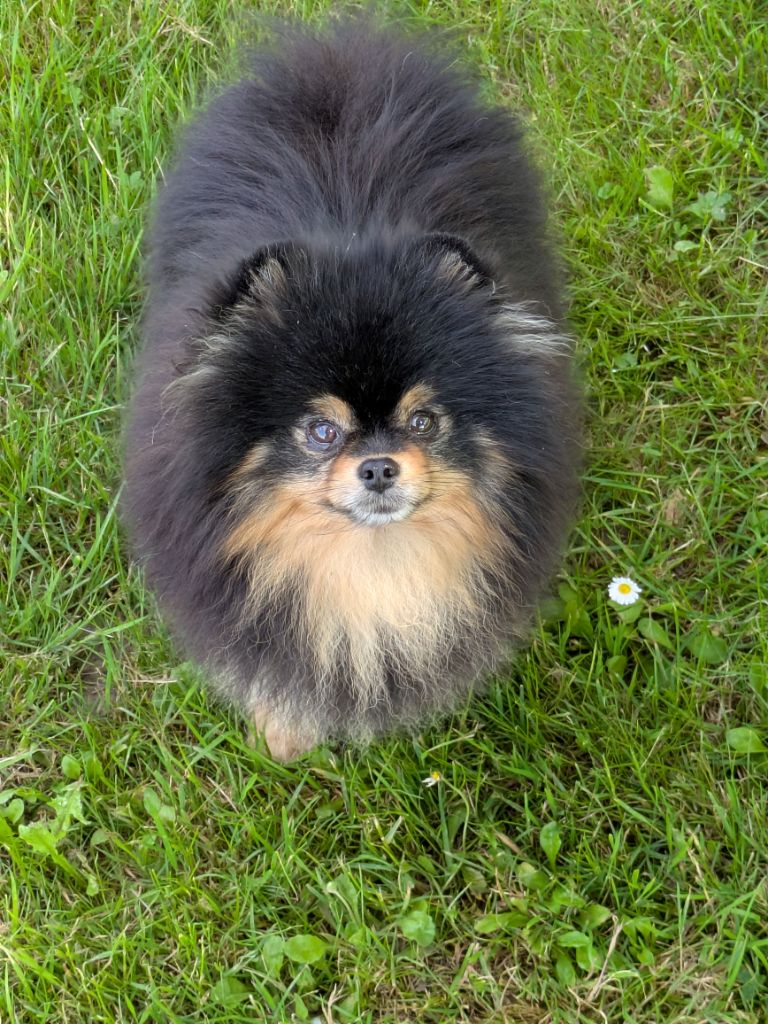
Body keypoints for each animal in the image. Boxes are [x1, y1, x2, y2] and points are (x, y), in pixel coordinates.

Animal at [123, 18, 581, 761]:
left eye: (423, 422)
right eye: (321, 431)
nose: (377, 466)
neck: (369, 561)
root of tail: (341, 59)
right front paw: (284, 736)